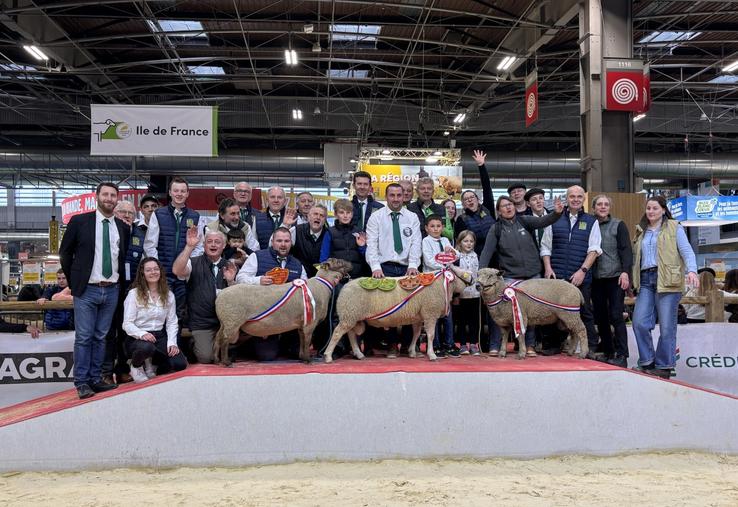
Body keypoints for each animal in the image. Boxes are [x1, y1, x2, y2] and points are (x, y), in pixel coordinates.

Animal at [213, 258, 350, 366]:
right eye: (338, 262)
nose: (351, 264)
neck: (322, 285)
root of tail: (220, 296)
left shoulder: (302, 323)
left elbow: (302, 339)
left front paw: (302, 357)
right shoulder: (310, 322)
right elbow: (307, 340)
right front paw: (308, 360)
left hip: (225, 322)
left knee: (217, 338)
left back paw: (216, 360)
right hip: (232, 320)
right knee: (225, 340)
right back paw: (226, 362)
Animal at [322, 264, 472, 364]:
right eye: (462, 273)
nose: (473, 281)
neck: (442, 284)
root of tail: (345, 286)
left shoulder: (418, 317)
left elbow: (416, 334)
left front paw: (412, 352)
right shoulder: (430, 313)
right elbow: (430, 335)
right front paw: (432, 355)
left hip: (353, 316)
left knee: (351, 334)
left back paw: (359, 354)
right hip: (349, 314)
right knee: (337, 333)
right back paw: (328, 356)